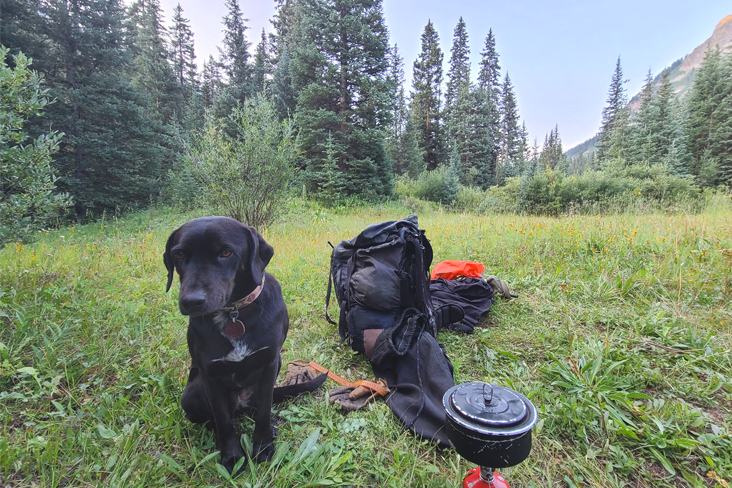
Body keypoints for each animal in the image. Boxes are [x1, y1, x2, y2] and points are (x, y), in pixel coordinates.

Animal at [166, 216, 326, 472]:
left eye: (225, 252)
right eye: (179, 254)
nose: (191, 301)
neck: (234, 312)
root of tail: (241, 404)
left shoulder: (271, 363)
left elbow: (264, 411)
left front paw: (263, 446)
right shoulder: (209, 376)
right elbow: (223, 420)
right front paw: (232, 456)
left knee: (256, 408)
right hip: (190, 396)